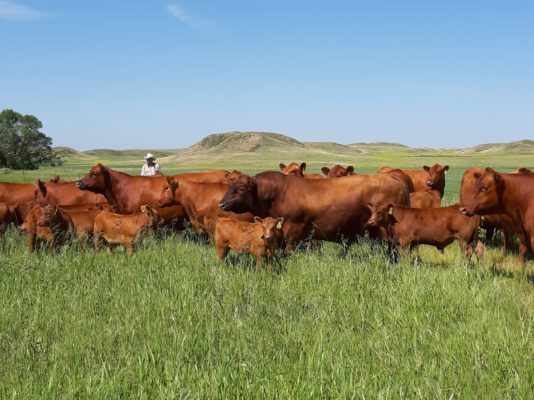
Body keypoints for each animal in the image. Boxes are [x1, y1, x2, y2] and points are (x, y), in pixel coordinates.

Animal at [218, 170, 410, 245]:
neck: (278, 193)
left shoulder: (292, 230)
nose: (221, 203)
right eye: (229, 185)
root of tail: (394, 179)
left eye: (240, 189)